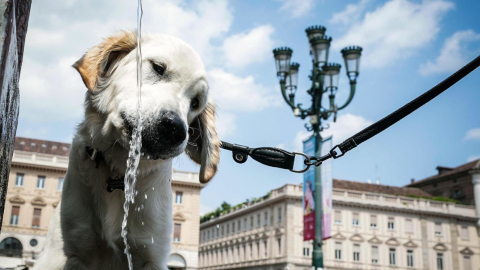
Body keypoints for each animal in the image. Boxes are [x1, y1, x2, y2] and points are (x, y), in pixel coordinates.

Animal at [32, 31, 220, 270]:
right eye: (158, 67)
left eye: (195, 102)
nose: (176, 130)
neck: (118, 172)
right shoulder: (65, 252)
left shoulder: (151, 254)